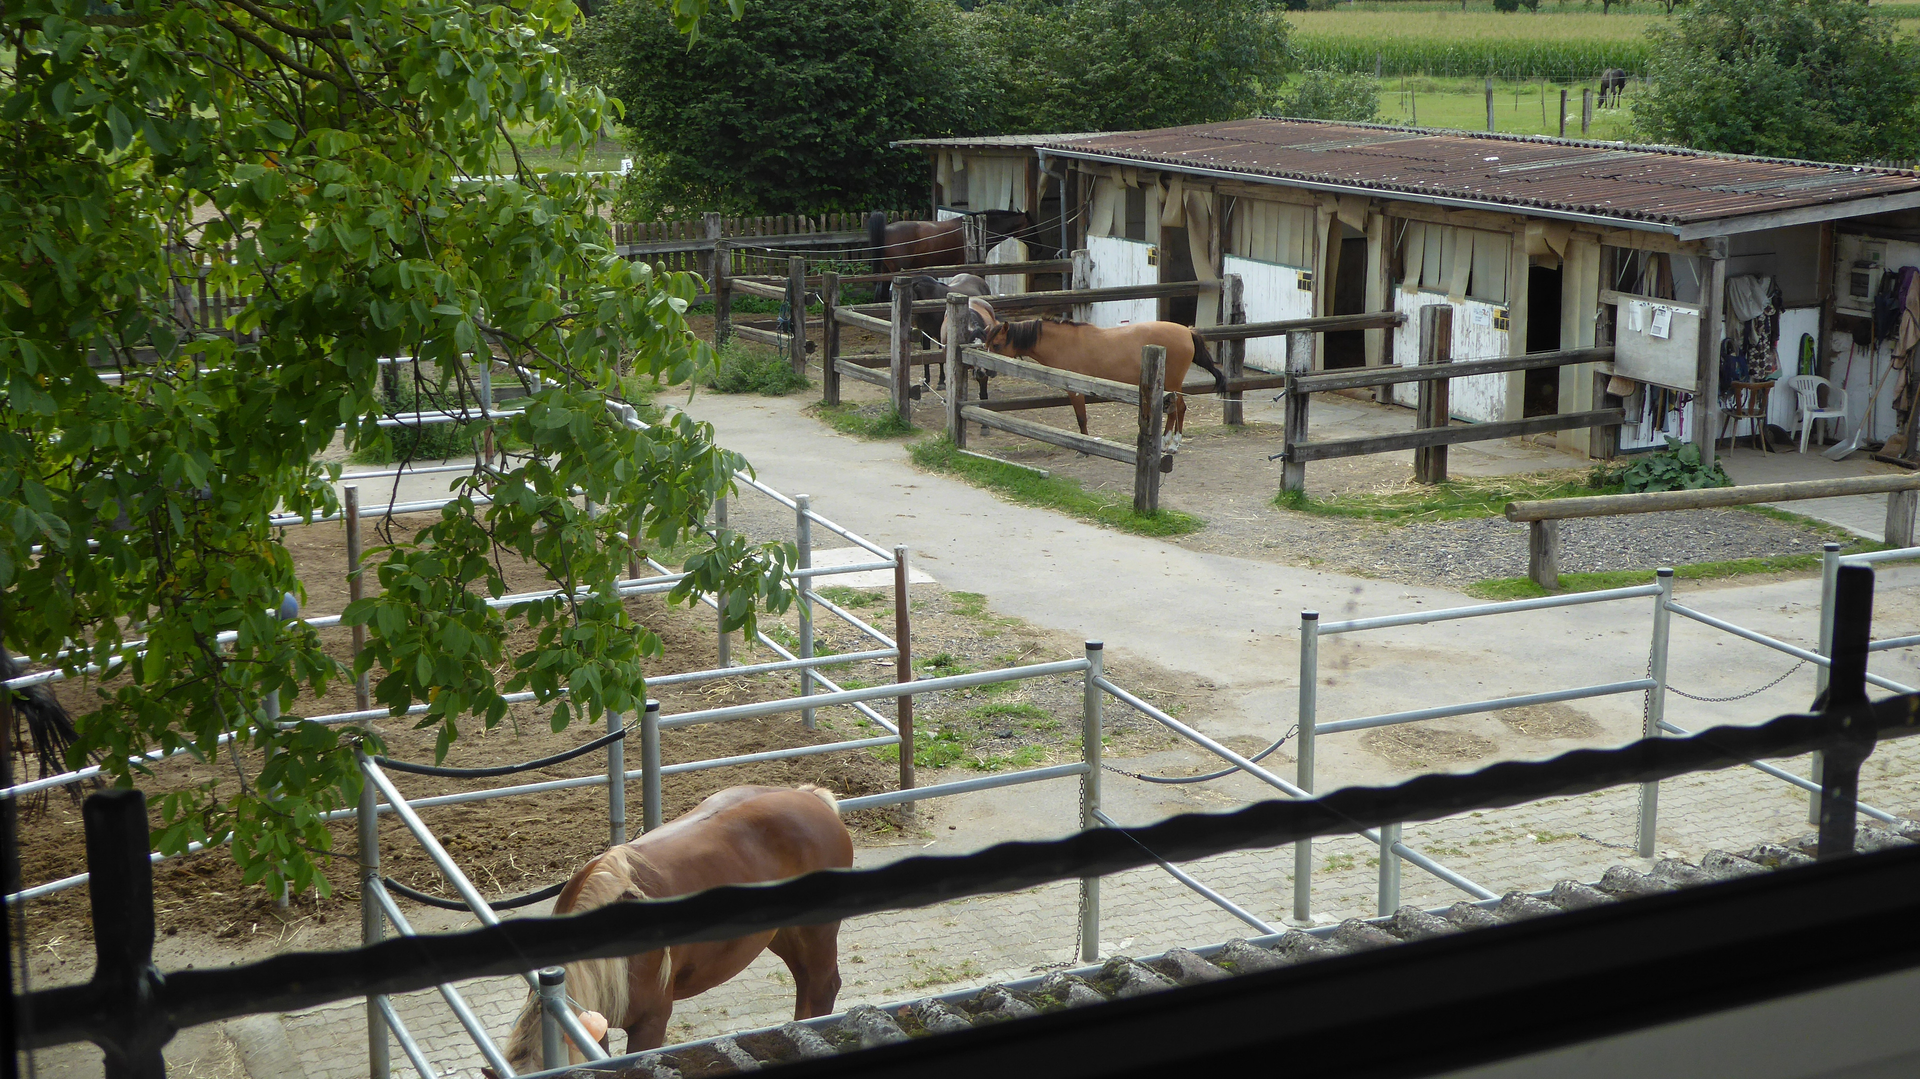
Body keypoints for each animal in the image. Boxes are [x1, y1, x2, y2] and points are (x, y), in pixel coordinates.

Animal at [491, 785, 853, 1073]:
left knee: (823, 986)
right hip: (784, 935)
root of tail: (811, 797)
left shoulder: (650, 1023)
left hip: (817, 932)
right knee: (806, 983)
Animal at [958, 298, 1226, 453]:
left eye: (998, 345)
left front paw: (1083, 448)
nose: (981, 370)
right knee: (1179, 409)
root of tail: (1187, 331)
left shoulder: (1076, 390)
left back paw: (1171, 444)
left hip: (1172, 383)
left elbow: (1081, 419)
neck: (1063, 343)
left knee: (1177, 410)